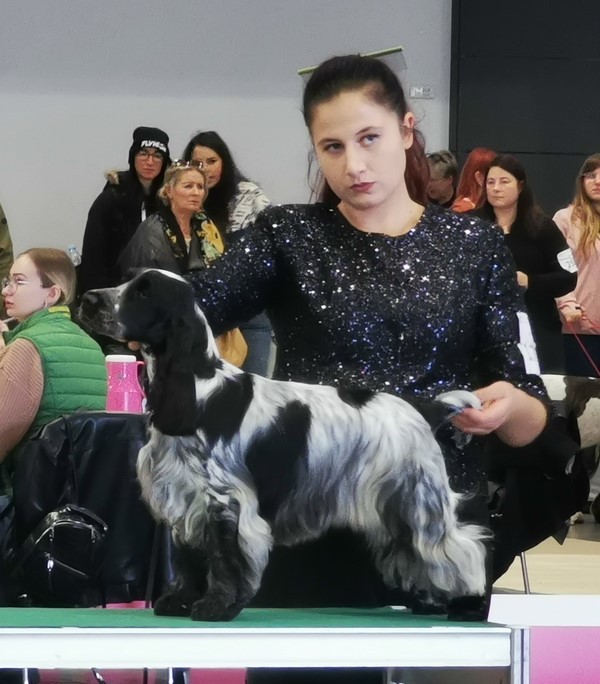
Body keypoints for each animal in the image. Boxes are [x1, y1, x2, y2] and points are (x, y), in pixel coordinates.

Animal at [80, 269, 488, 622]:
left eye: (144, 292)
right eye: (126, 280)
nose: (87, 299)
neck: (200, 390)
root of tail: (423, 409)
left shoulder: (226, 500)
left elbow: (226, 559)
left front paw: (217, 606)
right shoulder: (186, 496)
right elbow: (189, 558)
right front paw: (179, 600)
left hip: (418, 498)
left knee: (462, 551)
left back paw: (467, 606)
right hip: (396, 508)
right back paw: (432, 602)